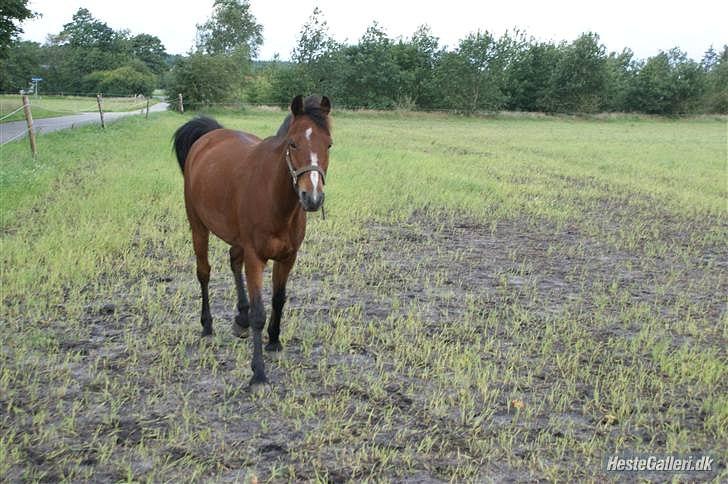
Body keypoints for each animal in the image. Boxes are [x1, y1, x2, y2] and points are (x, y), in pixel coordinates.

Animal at [171, 95, 332, 386]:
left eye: (328, 144)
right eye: (293, 144)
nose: (312, 198)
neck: (274, 198)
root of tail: (210, 135)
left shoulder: (288, 256)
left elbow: (279, 299)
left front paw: (274, 341)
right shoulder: (256, 257)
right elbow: (260, 312)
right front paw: (258, 373)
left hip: (237, 239)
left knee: (234, 262)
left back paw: (240, 318)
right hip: (198, 226)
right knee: (204, 272)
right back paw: (207, 325)